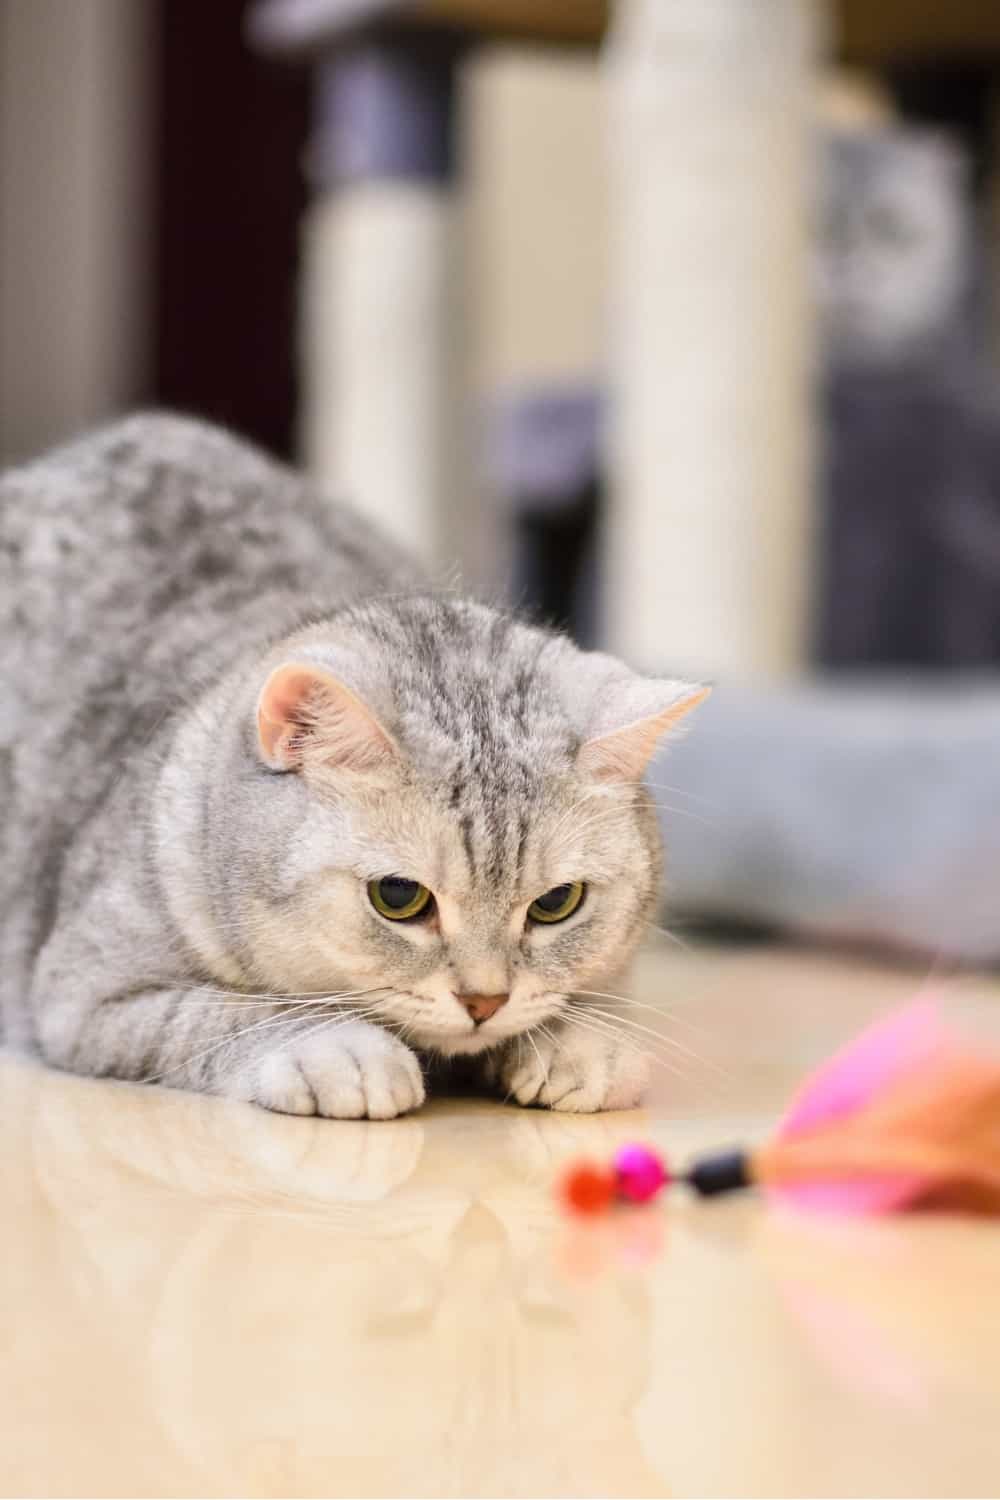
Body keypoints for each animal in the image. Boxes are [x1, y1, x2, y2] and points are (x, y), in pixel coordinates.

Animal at [0, 417, 704, 1122]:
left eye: (557, 903)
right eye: (398, 897)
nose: (484, 1001)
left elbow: (592, 1000)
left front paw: (581, 1045)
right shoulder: (87, 995)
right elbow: (230, 1014)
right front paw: (338, 1049)